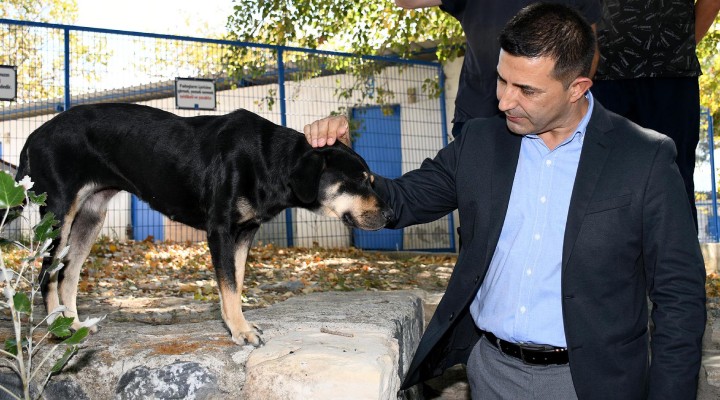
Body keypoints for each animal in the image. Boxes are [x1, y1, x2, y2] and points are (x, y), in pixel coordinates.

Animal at [14, 104, 390, 346]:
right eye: (359, 180)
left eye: (371, 179)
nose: (389, 216)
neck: (268, 161)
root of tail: (34, 134)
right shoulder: (220, 230)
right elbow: (230, 286)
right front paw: (241, 332)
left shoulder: (244, 233)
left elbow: (234, 284)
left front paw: (233, 324)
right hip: (58, 215)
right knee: (46, 274)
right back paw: (57, 329)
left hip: (90, 217)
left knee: (68, 274)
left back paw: (75, 324)